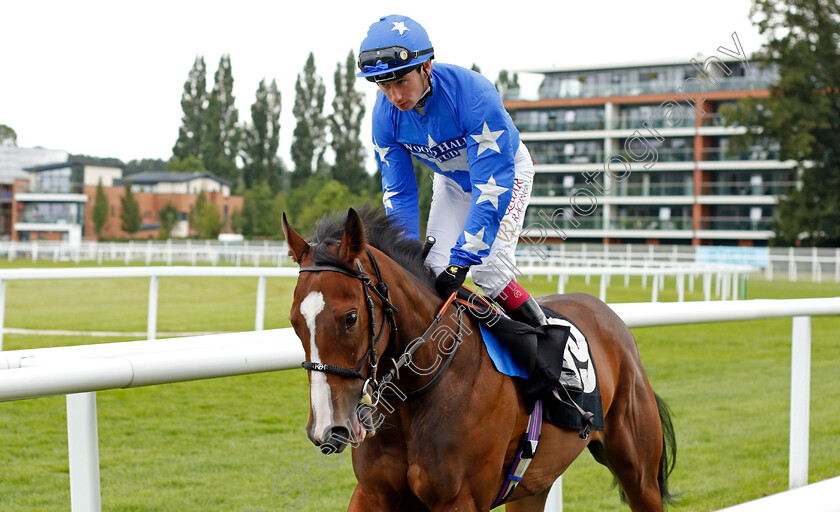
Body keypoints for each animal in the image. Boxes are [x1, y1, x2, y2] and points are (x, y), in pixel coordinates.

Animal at [282, 209, 676, 512]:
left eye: (350, 318)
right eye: (294, 321)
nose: (328, 429)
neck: (419, 392)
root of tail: (607, 314)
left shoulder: (460, 499)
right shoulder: (373, 493)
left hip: (638, 471)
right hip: (534, 484)